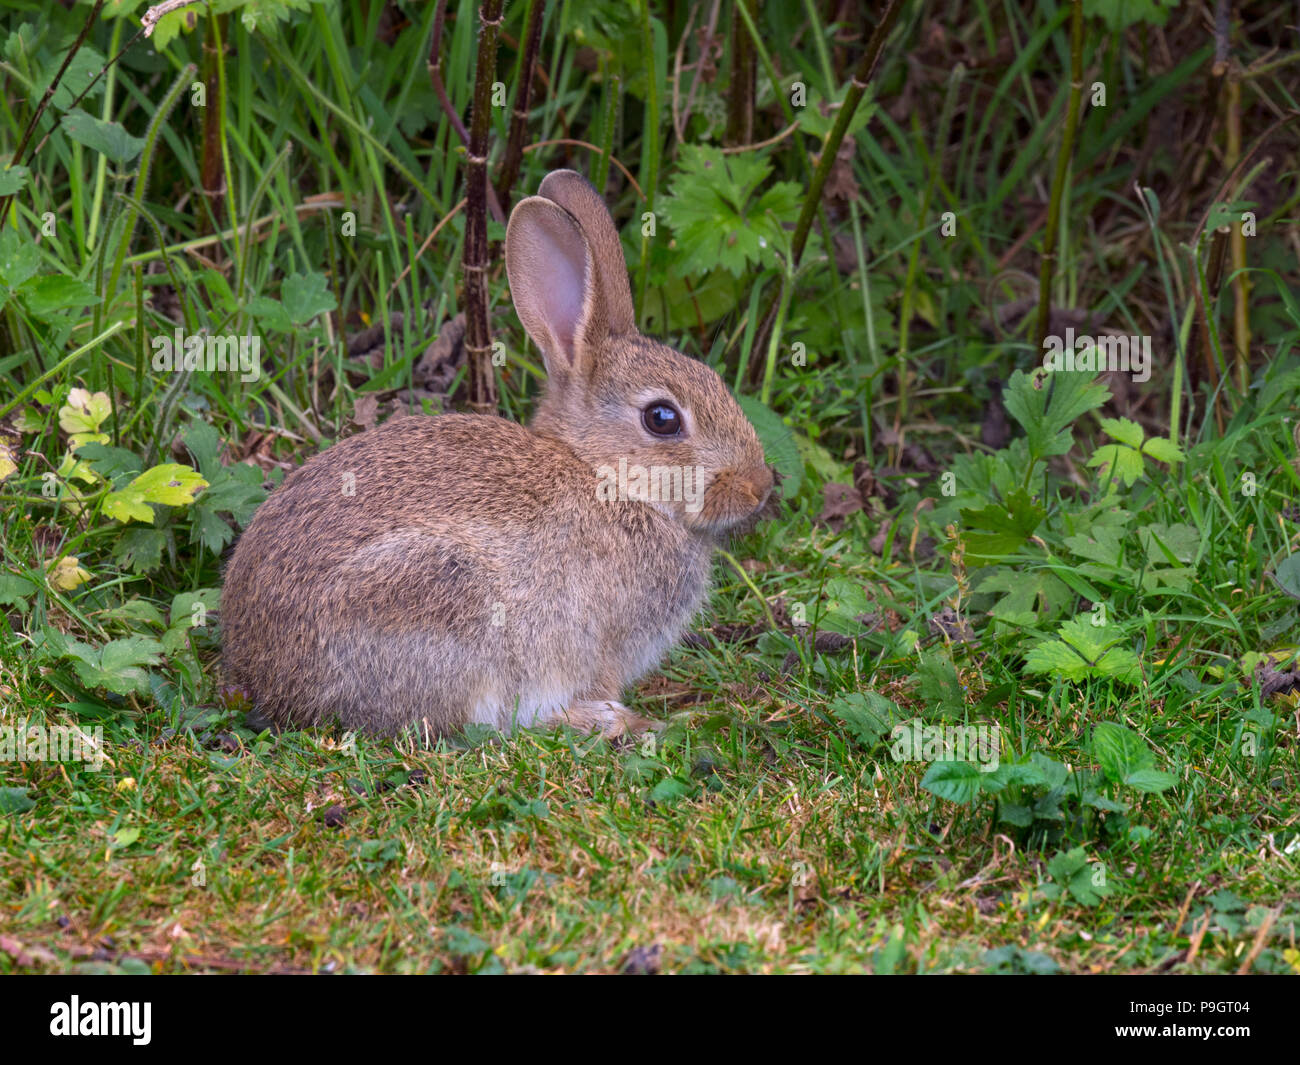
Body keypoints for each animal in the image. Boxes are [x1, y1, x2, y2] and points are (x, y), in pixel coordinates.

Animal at [220, 169, 775, 740]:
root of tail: (265, 674)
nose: (759, 486)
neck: (604, 476)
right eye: (662, 419)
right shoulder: (599, 643)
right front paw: (619, 715)